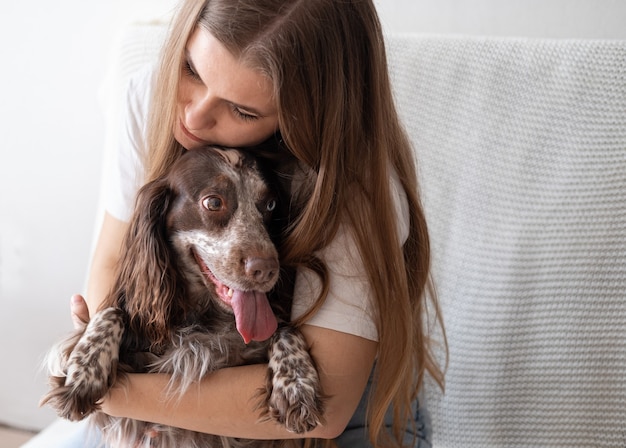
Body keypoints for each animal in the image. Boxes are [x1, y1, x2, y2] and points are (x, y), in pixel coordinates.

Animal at [43, 145, 324, 446]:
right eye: (213, 202)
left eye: (270, 205)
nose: (267, 269)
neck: (203, 315)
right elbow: (113, 311)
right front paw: (84, 374)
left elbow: (283, 328)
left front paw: (296, 384)